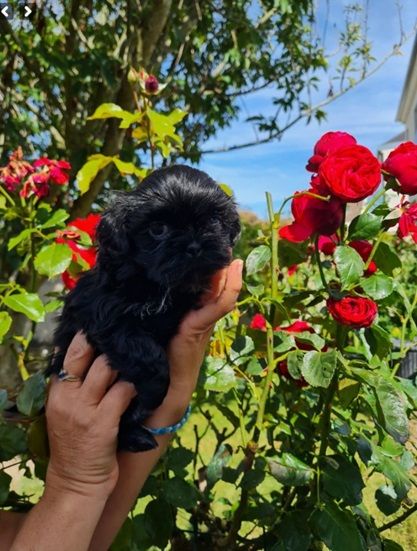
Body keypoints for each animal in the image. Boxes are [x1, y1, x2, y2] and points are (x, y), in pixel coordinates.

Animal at [48, 166, 239, 450]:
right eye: (158, 229)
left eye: (214, 221)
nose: (194, 246)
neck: (159, 285)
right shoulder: (106, 318)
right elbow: (149, 355)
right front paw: (152, 394)